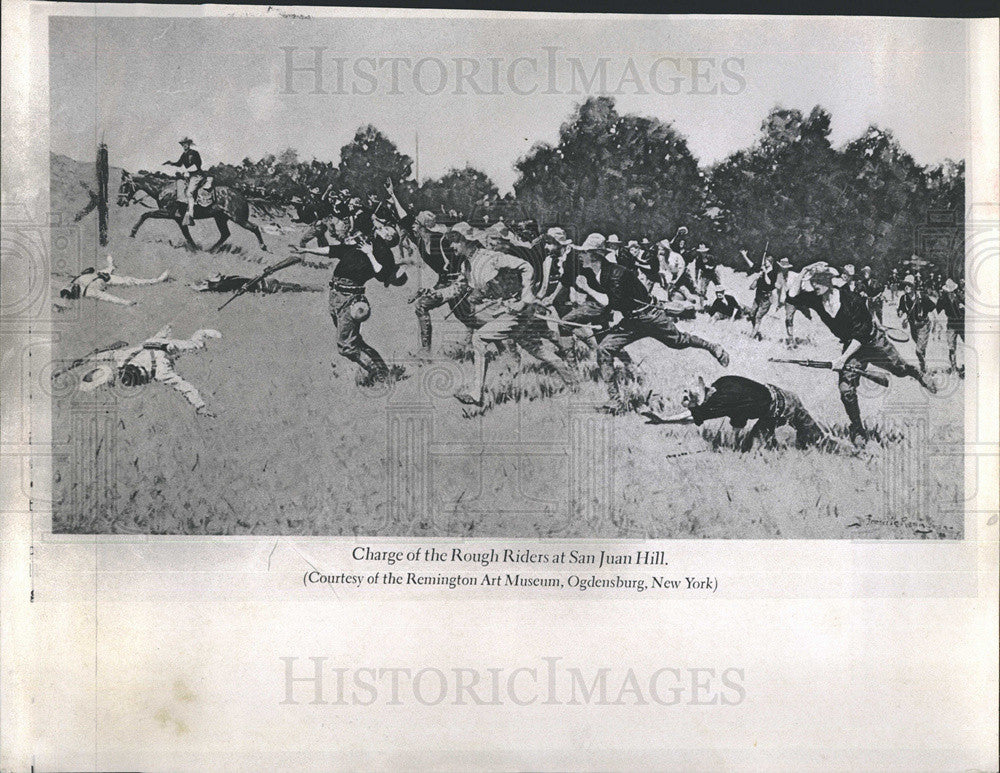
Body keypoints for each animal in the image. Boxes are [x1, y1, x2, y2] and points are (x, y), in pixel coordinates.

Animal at [117, 170, 268, 252]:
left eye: (124, 185)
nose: (119, 202)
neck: (164, 189)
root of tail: (243, 196)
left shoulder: (167, 213)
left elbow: (145, 215)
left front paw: (132, 232)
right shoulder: (179, 219)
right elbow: (188, 236)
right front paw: (196, 249)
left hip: (238, 218)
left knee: (254, 227)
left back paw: (263, 247)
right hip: (220, 219)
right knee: (225, 234)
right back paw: (210, 251)